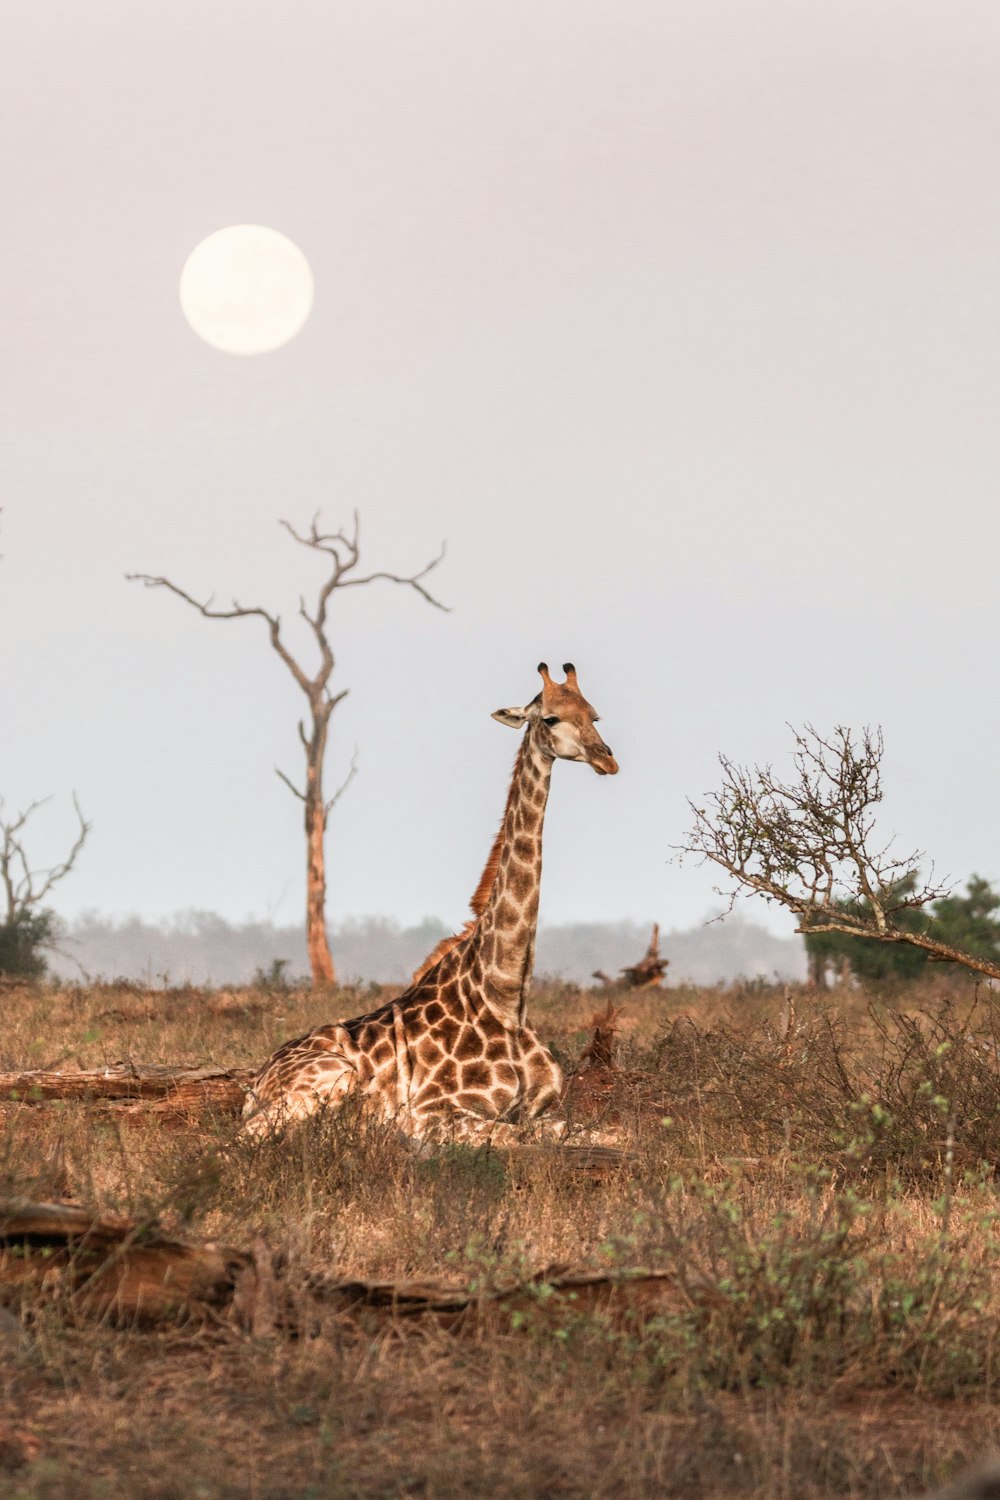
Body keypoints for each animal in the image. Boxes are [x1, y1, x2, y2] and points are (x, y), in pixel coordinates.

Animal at [242, 663, 617, 1140]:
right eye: (551, 718)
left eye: (594, 715)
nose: (607, 759)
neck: (507, 997)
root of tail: (256, 1081)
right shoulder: (432, 1114)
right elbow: (516, 1139)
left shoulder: (543, 1109)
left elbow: (611, 1134)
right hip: (329, 1080)